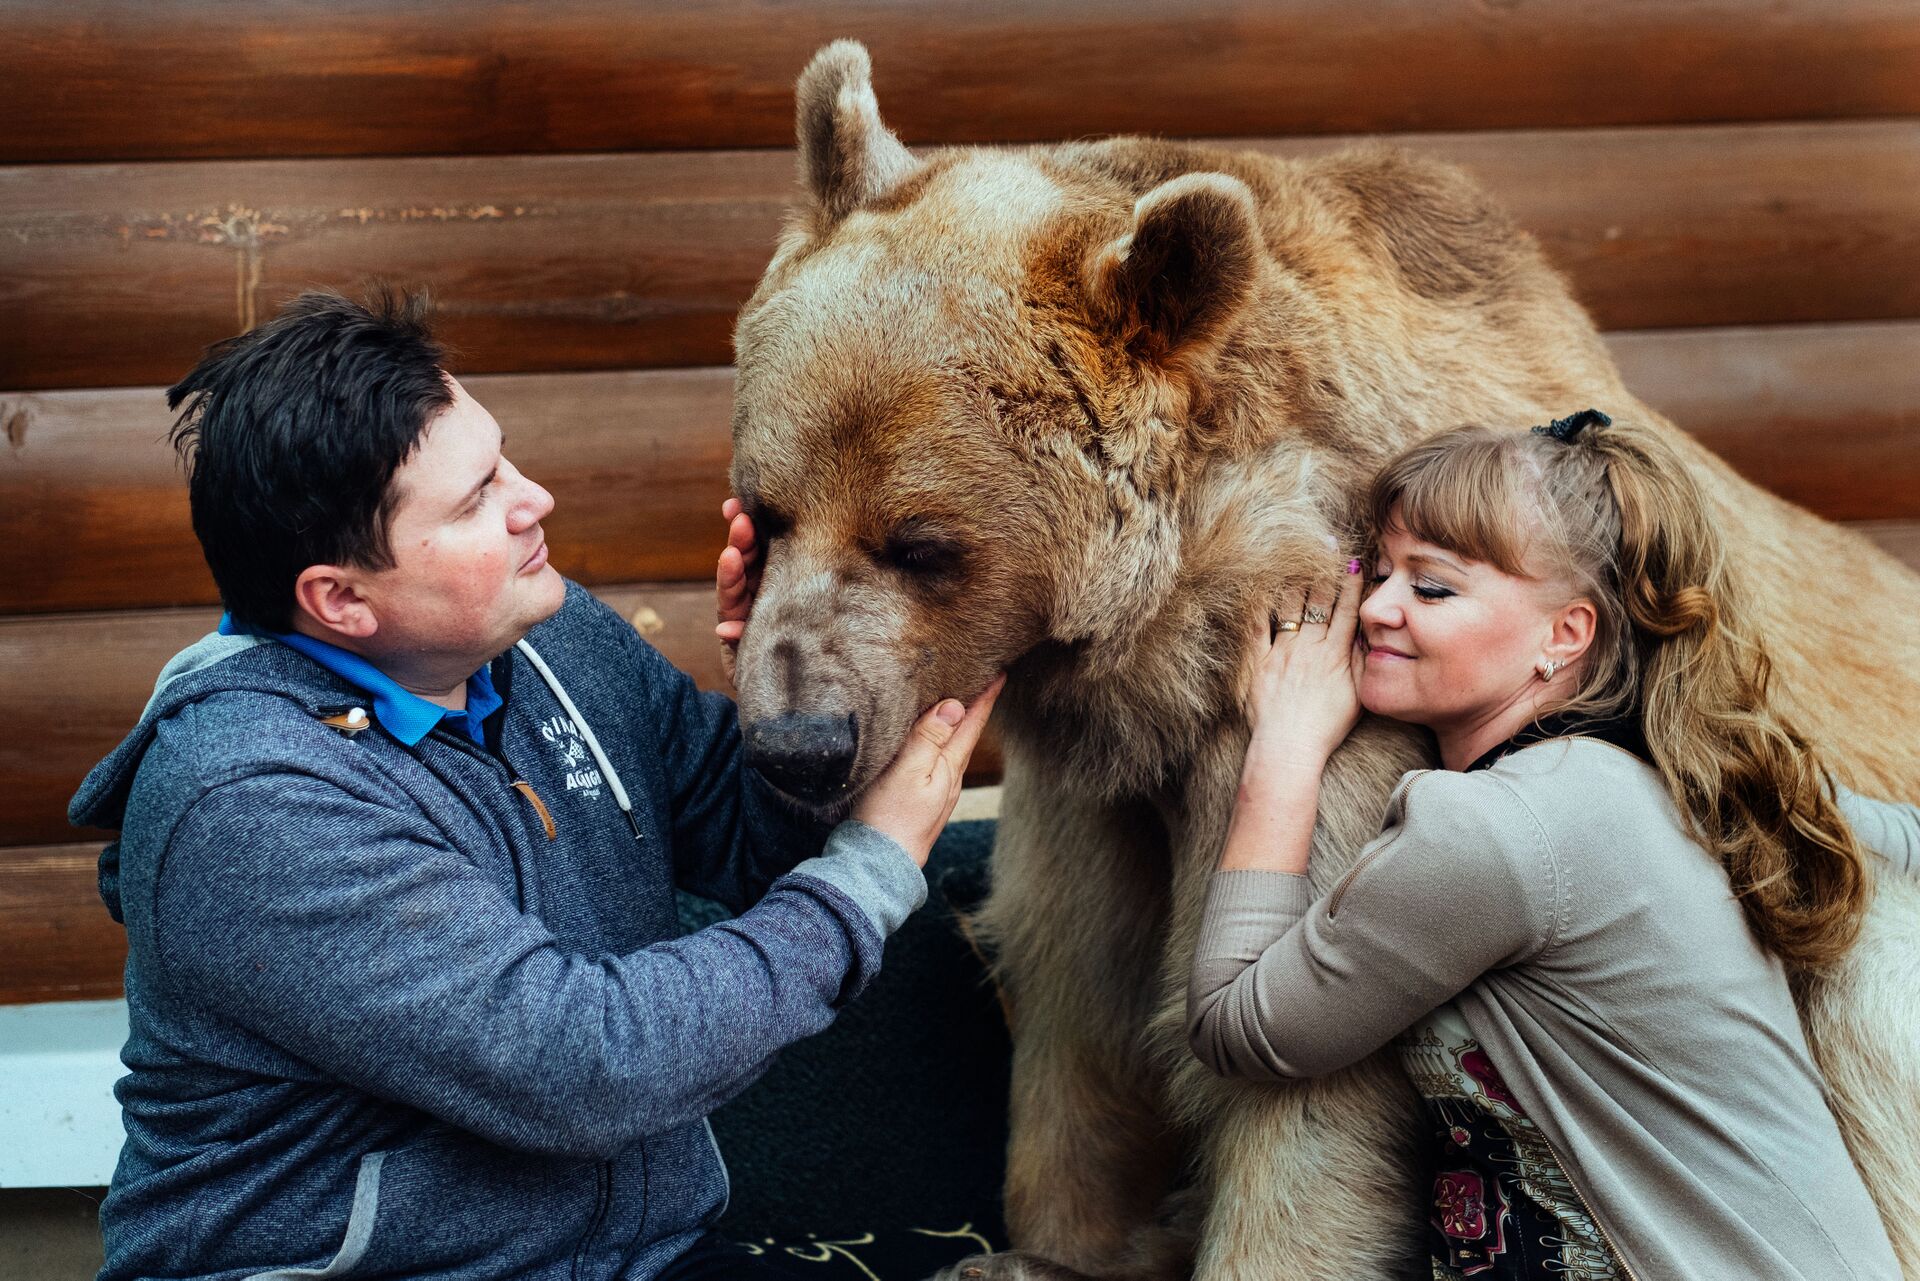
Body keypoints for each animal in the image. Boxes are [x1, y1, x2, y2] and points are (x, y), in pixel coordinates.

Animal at [721, 40, 1920, 1281]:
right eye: (766, 511)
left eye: (922, 544)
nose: (798, 743)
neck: (1171, 643)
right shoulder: (1096, 778)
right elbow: (1077, 986)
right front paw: (1047, 1244)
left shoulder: (1339, 736)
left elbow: (1296, 1079)